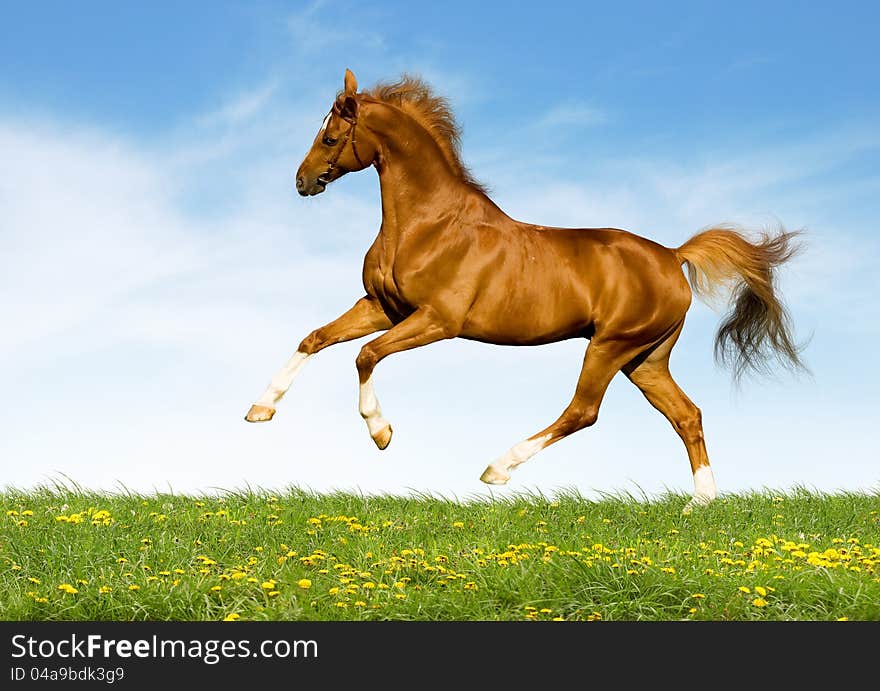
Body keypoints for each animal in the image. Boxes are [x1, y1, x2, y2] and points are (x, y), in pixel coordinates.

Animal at [242, 69, 804, 512]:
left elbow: (365, 355)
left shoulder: (437, 320)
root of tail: (672, 255)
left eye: (330, 138)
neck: (428, 224)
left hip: (610, 346)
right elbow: (316, 338)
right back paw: (700, 501)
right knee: (687, 415)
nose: (302, 181)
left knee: (583, 412)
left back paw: (497, 469)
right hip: (646, 358)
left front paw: (381, 433)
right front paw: (260, 410)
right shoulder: (382, 307)